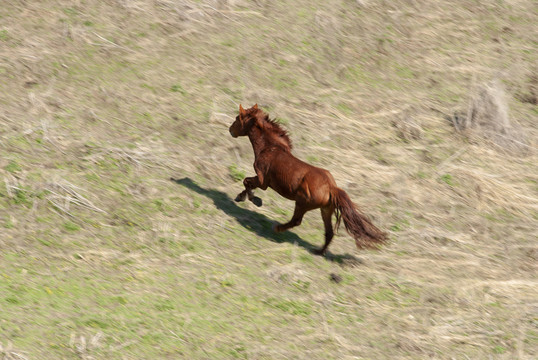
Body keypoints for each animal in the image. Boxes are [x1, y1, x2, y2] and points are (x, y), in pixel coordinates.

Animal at [226, 103, 386, 256]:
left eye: (237, 118)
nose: (230, 130)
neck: (270, 148)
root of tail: (331, 188)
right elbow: (247, 183)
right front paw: (242, 197)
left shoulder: (262, 180)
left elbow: (246, 181)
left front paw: (252, 199)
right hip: (325, 210)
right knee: (329, 232)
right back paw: (319, 252)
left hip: (302, 203)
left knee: (296, 221)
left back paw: (277, 228)